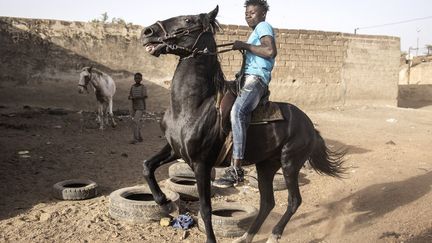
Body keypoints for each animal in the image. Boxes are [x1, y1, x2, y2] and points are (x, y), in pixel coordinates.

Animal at [142, 6, 344, 243]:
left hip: (290, 164)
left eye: (188, 20)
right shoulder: (176, 149)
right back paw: (246, 236)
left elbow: (205, 209)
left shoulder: (201, 164)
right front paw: (162, 200)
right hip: (266, 165)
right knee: (267, 203)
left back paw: (274, 234)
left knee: (293, 201)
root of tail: (311, 127)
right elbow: (147, 166)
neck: (192, 105)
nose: (147, 32)